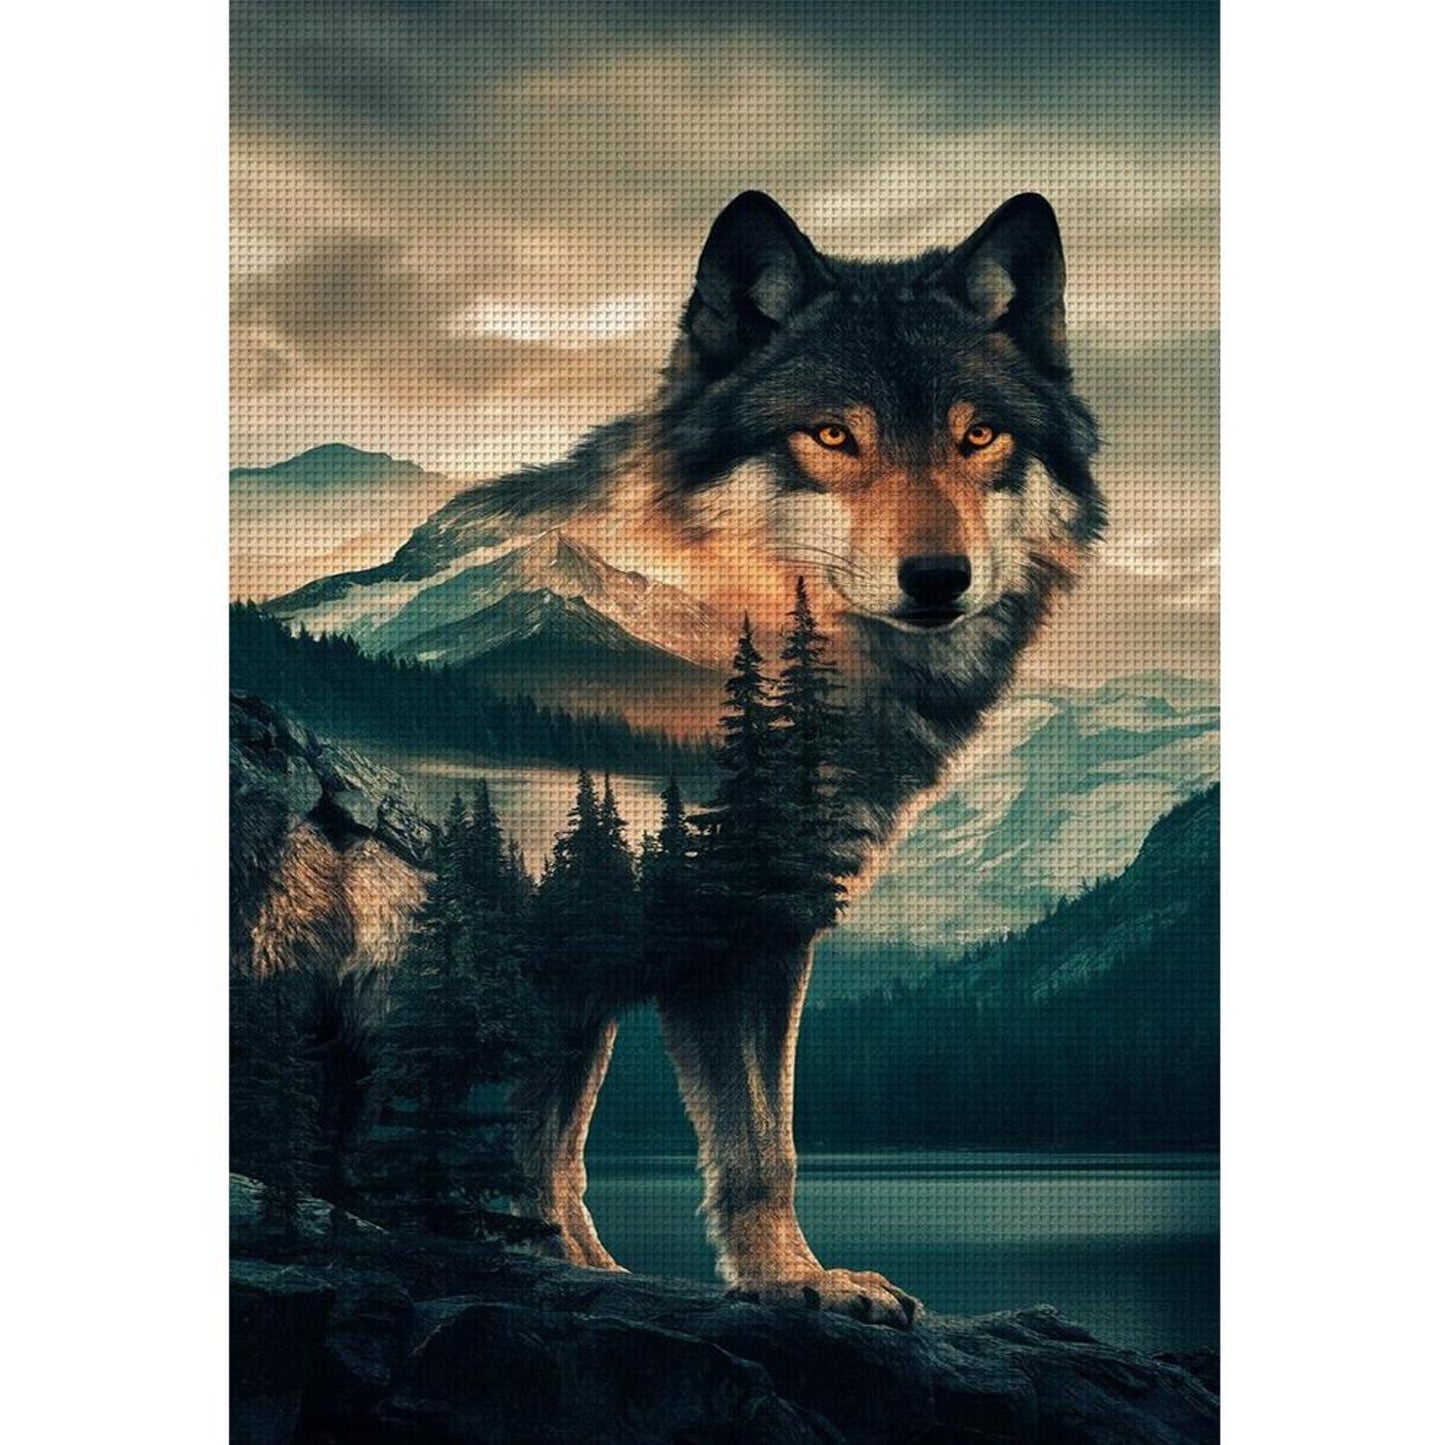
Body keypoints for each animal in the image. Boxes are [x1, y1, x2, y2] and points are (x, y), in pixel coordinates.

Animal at [482, 191, 1105, 1327]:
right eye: (831, 436)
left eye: (977, 435)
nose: (938, 576)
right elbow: (554, 1137)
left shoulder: (747, 931)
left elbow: (738, 1144)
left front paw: (784, 1278)